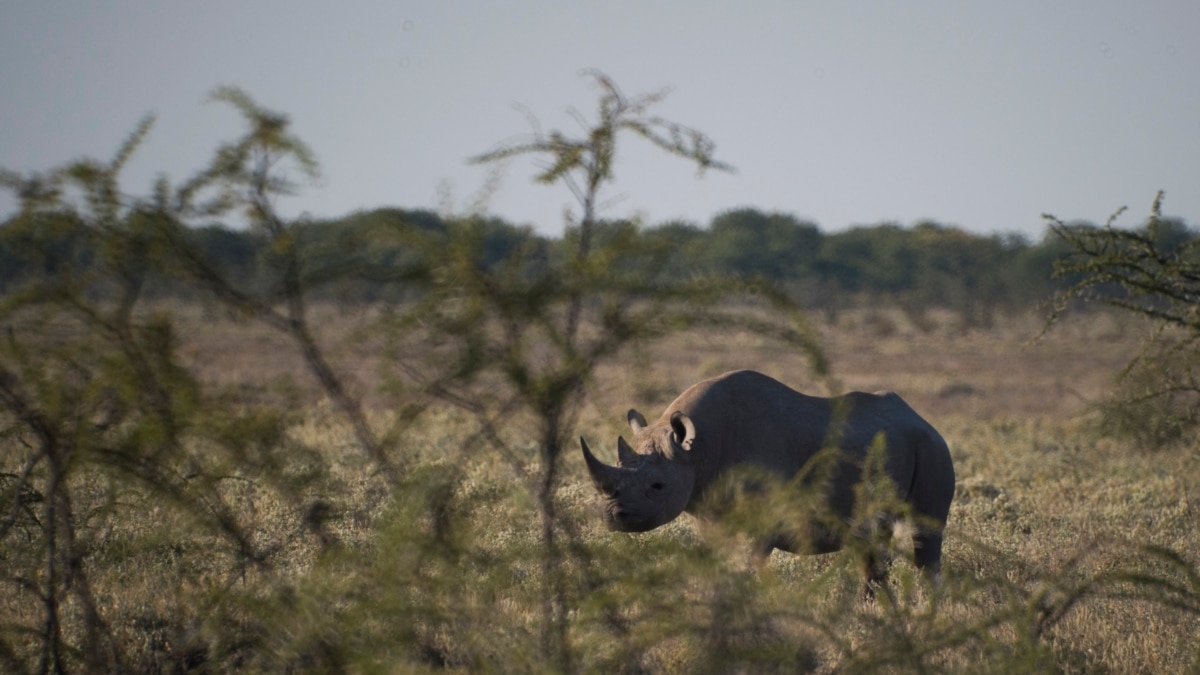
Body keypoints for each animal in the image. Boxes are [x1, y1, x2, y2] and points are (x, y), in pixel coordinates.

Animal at [580, 370, 955, 585]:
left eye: (657, 486)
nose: (612, 517)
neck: (698, 450)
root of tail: (921, 419)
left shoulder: (764, 518)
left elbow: (748, 564)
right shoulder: (711, 511)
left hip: (933, 449)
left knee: (924, 540)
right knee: (871, 548)